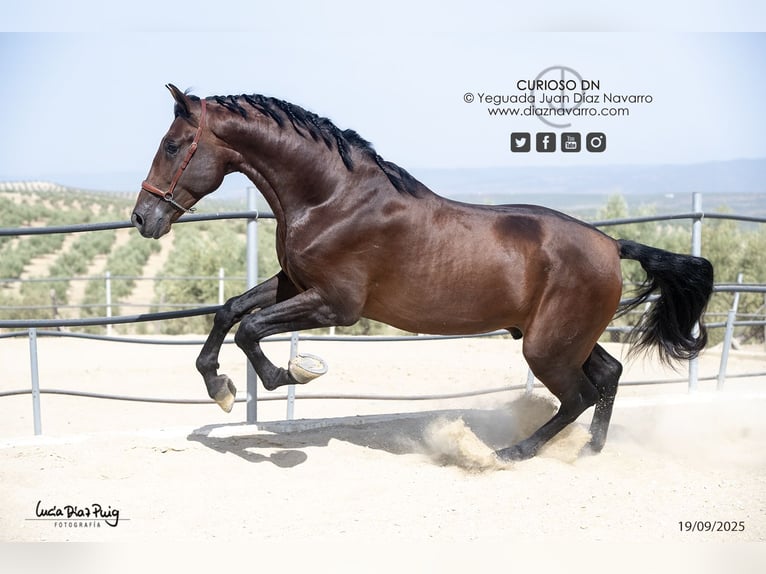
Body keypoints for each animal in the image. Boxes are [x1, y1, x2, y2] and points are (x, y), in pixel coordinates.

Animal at [131, 84, 714, 461]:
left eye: (173, 146)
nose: (143, 218)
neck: (332, 198)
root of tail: (612, 245)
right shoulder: (296, 283)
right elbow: (229, 311)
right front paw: (221, 387)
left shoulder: (335, 303)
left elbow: (251, 328)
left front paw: (291, 374)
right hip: (566, 337)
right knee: (609, 375)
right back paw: (590, 451)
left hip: (547, 346)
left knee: (579, 395)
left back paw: (508, 453)